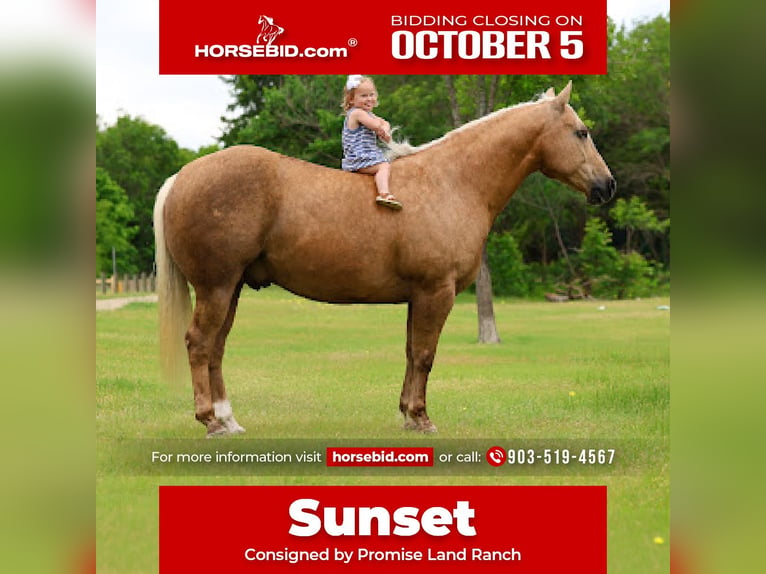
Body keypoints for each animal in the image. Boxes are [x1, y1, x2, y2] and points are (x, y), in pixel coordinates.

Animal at [153, 82, 615, 437]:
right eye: (581, 132)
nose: (607, 186)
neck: (452, 181)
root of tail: (182, 176)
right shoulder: (436, 292)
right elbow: (426, 355)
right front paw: (422, 419)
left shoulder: (419, 296)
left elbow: (412, 352)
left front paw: (408, 415)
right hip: (215, 287)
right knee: (199, 343)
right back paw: (211, 421)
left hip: (230, 289)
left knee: (216, 348)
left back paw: (229, 421)